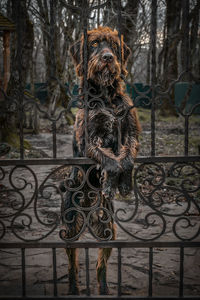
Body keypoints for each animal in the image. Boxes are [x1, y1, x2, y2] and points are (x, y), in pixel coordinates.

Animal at [61, 27, 141, 294]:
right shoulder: (89, 141)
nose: (107, 57)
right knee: (73, 265)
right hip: (69, 231)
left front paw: (123, 184)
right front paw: (110, 182)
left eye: (114, 46)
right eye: (95, 44)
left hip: (108, 232)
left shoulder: (130, 132)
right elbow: (111, 161)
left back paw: (104, 288)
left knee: (99, 266)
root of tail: (88, 214)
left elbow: (126, 159)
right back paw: (73, 288)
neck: (105, 96)